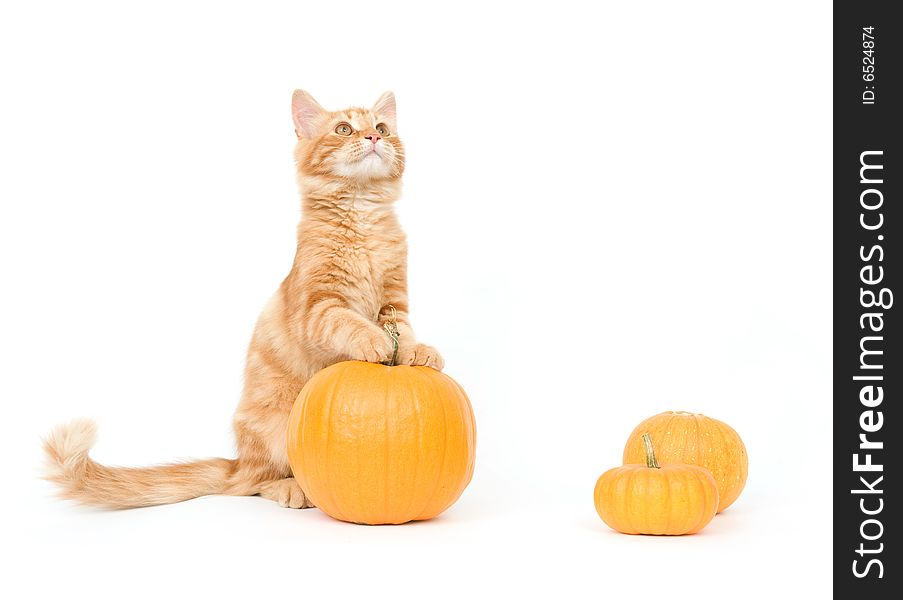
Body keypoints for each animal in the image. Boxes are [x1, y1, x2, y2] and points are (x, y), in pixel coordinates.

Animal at [42, 91, 444, 508]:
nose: (373, 138)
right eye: (344, 129)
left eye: (381, 128)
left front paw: (418, 352)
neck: (362, 216)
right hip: (275, 429)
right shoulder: (316, 308)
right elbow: (347, 321)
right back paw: (292, 488)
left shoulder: (394, 302)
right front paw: (374, 341)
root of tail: (237, 463)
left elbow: (404, 331)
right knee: (255, 483)